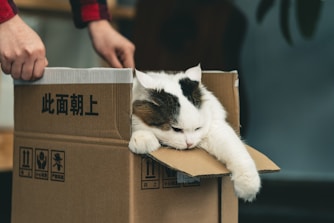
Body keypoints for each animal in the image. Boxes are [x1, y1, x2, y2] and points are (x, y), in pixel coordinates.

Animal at [128, 64, 260, 202]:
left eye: (197, 128)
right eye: (176, 129)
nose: (189, 144)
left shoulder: (215, 128)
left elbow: (236, 150)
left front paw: (248, 187)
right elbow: (137, 126)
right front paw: (143, 139)